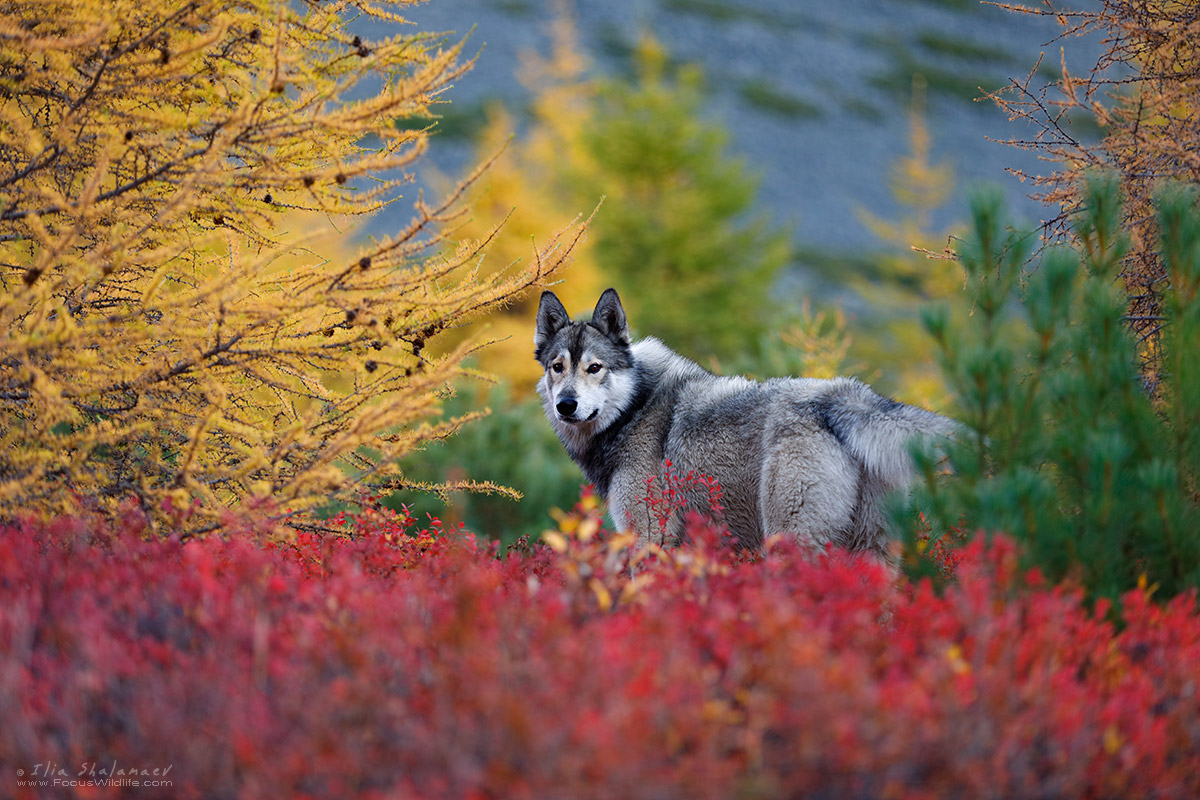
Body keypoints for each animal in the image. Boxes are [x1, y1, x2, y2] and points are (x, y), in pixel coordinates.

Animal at [535, 291, 955, 561]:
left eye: (594, 367)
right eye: (557, 367)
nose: (566, 405)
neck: (634, 408)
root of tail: (845, 396)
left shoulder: (650, 537)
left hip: (791, 540)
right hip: (871, 553)